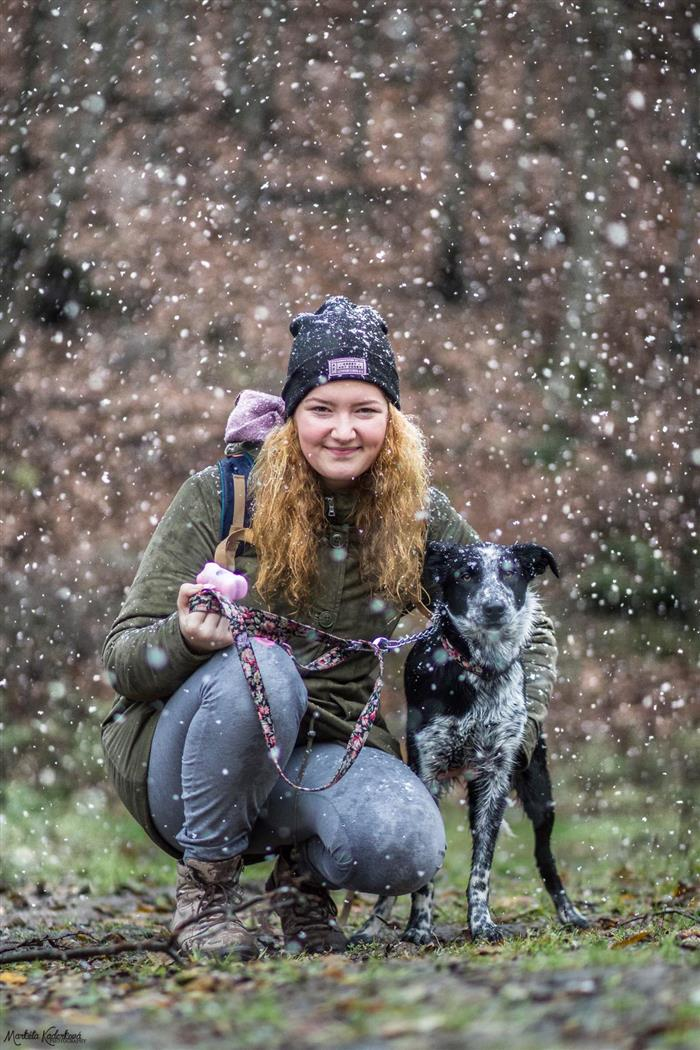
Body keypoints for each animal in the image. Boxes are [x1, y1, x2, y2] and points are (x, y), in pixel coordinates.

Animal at [352, 541, 587, 944]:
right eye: (465, 574)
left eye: (510, 572)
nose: (494, 607)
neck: (478, 670)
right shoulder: (427, 771)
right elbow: (423, 875)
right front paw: (418, 927)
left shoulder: (494, 779)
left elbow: (482, 869)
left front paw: (482, 924)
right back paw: (372, 925)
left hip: (540, 794)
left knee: (546, 859)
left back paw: (570, 913)